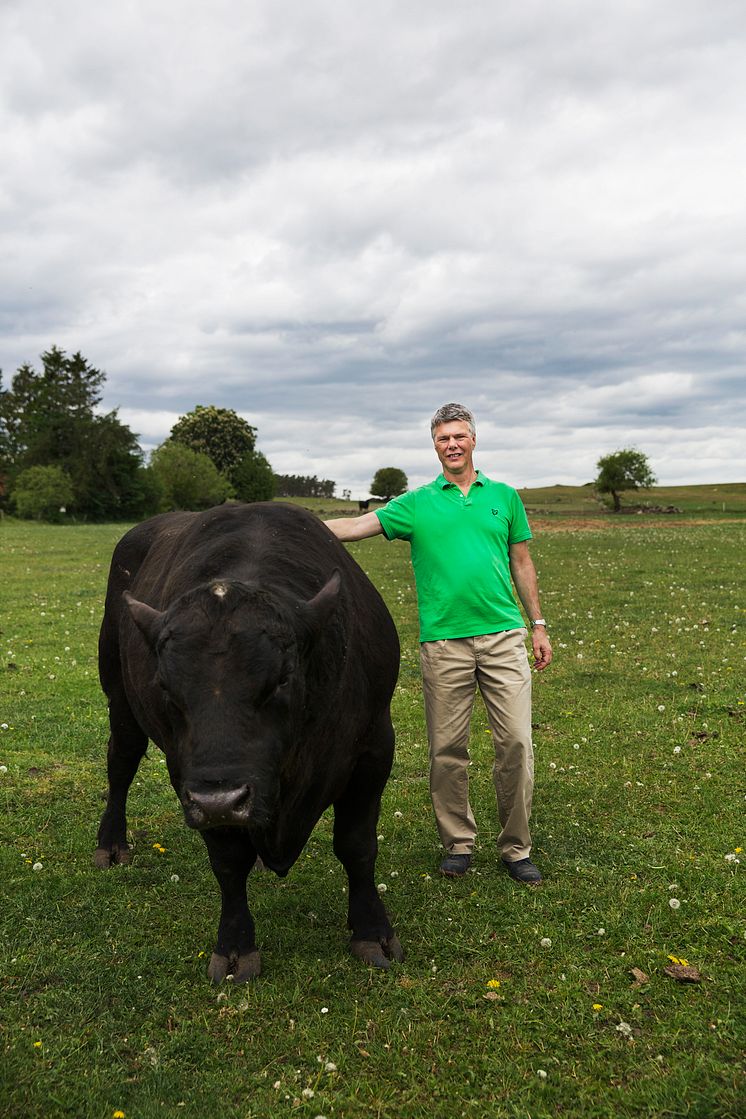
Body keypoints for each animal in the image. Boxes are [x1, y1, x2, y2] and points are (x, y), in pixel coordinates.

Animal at [97, 501, 404, 980]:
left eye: (281, 678)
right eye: (164, 685)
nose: (222, 801)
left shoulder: (373, 748)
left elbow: (357, 846)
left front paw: (372, 931)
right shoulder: (189, 777)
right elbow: (228, 861)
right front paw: (235, 946)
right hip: (119, 695)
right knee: (121, 761)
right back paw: (111, 844)